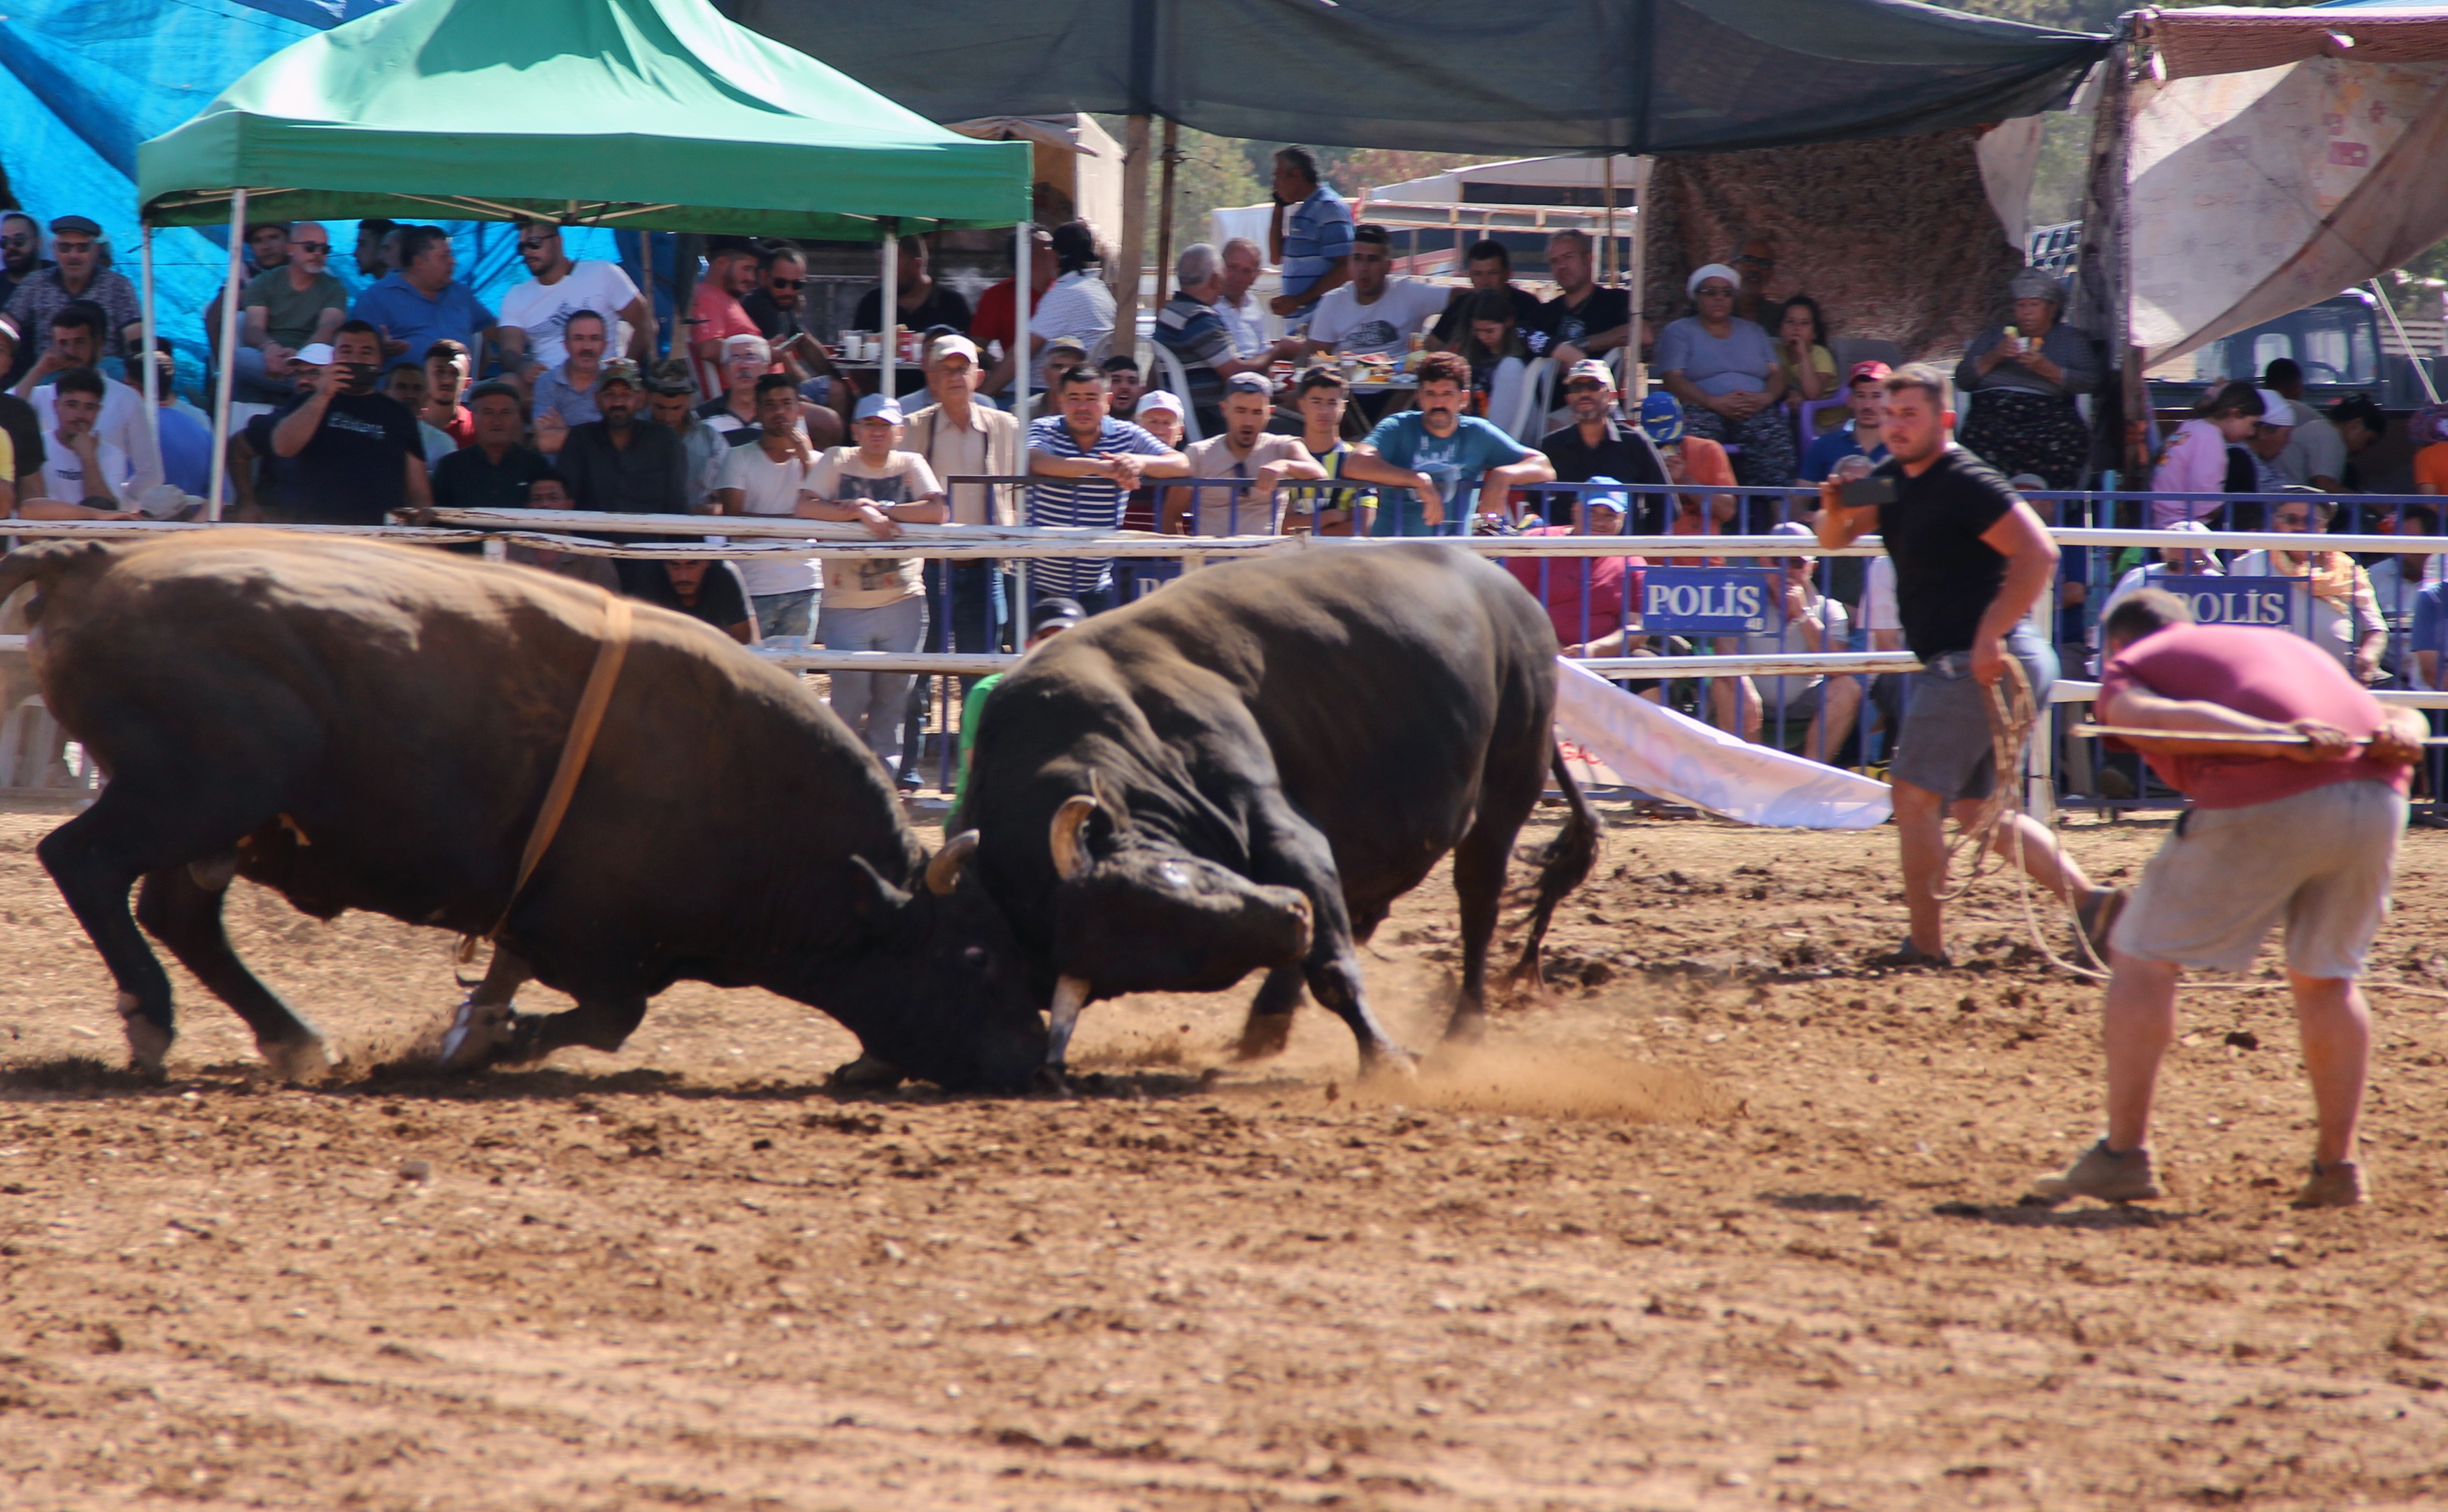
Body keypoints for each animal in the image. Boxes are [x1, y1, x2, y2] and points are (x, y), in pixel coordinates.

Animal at [0, 531, 1043, 1081]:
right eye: (976, 956)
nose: (1038, 1050)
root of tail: (100, 563)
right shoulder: (585, 931)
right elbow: (613, 1012)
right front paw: (488, 1041)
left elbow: (524, 982)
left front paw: (476, 1026)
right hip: (197, 791)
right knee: (85, 863)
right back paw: (152, 1017)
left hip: (220, 817)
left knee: (176, 909)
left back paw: (291, 1035)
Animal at [945, 541, 1596, 1071]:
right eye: (1179, 958)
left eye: (1177, 876)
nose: (1293, 914)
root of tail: (1510, 594)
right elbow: (1326, 949)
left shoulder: (1279, 824)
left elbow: (1333, 965)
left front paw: (1385, 1060)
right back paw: (1271, 1017)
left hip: (1509, 785)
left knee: (1478, 903)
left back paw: (1462, 1032)